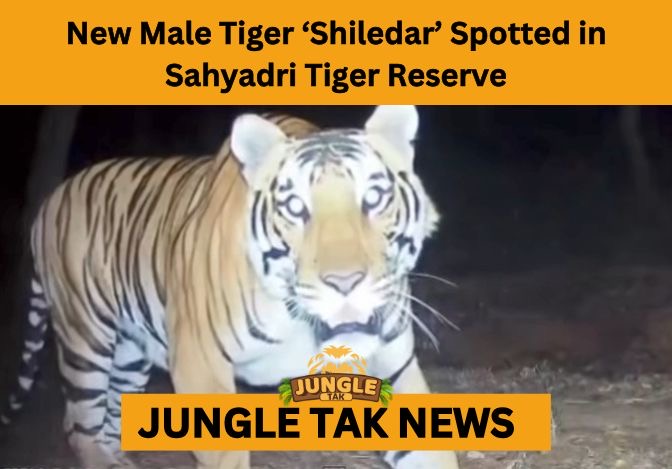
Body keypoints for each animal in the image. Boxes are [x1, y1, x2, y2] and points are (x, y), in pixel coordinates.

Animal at [1, 105, 459, 469]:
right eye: (295, 207)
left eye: (374, 198)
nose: (344, 283)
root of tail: (51, 198)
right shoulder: (200, 365)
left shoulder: (394, 368)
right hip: (85, 336)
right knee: (79, 426)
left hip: (130, 352)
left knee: (112, 418)